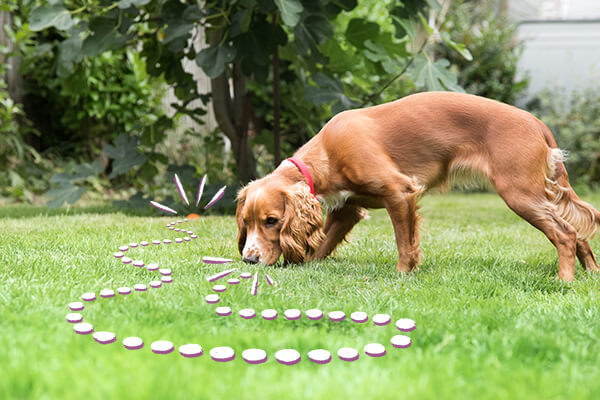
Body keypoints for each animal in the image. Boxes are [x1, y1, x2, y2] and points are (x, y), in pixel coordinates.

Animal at [236, 91, 600, 282]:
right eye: (246, 222)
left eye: (272, 221)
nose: (249, 260)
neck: (327, 152)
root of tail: (535, 122)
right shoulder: (347, 210)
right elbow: (321, 246)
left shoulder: (400, 192)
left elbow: (404, 243)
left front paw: (403, 275)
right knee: (577, 232)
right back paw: (591, 274)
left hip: (519, 193)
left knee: (565, 232)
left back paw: (564, 280)